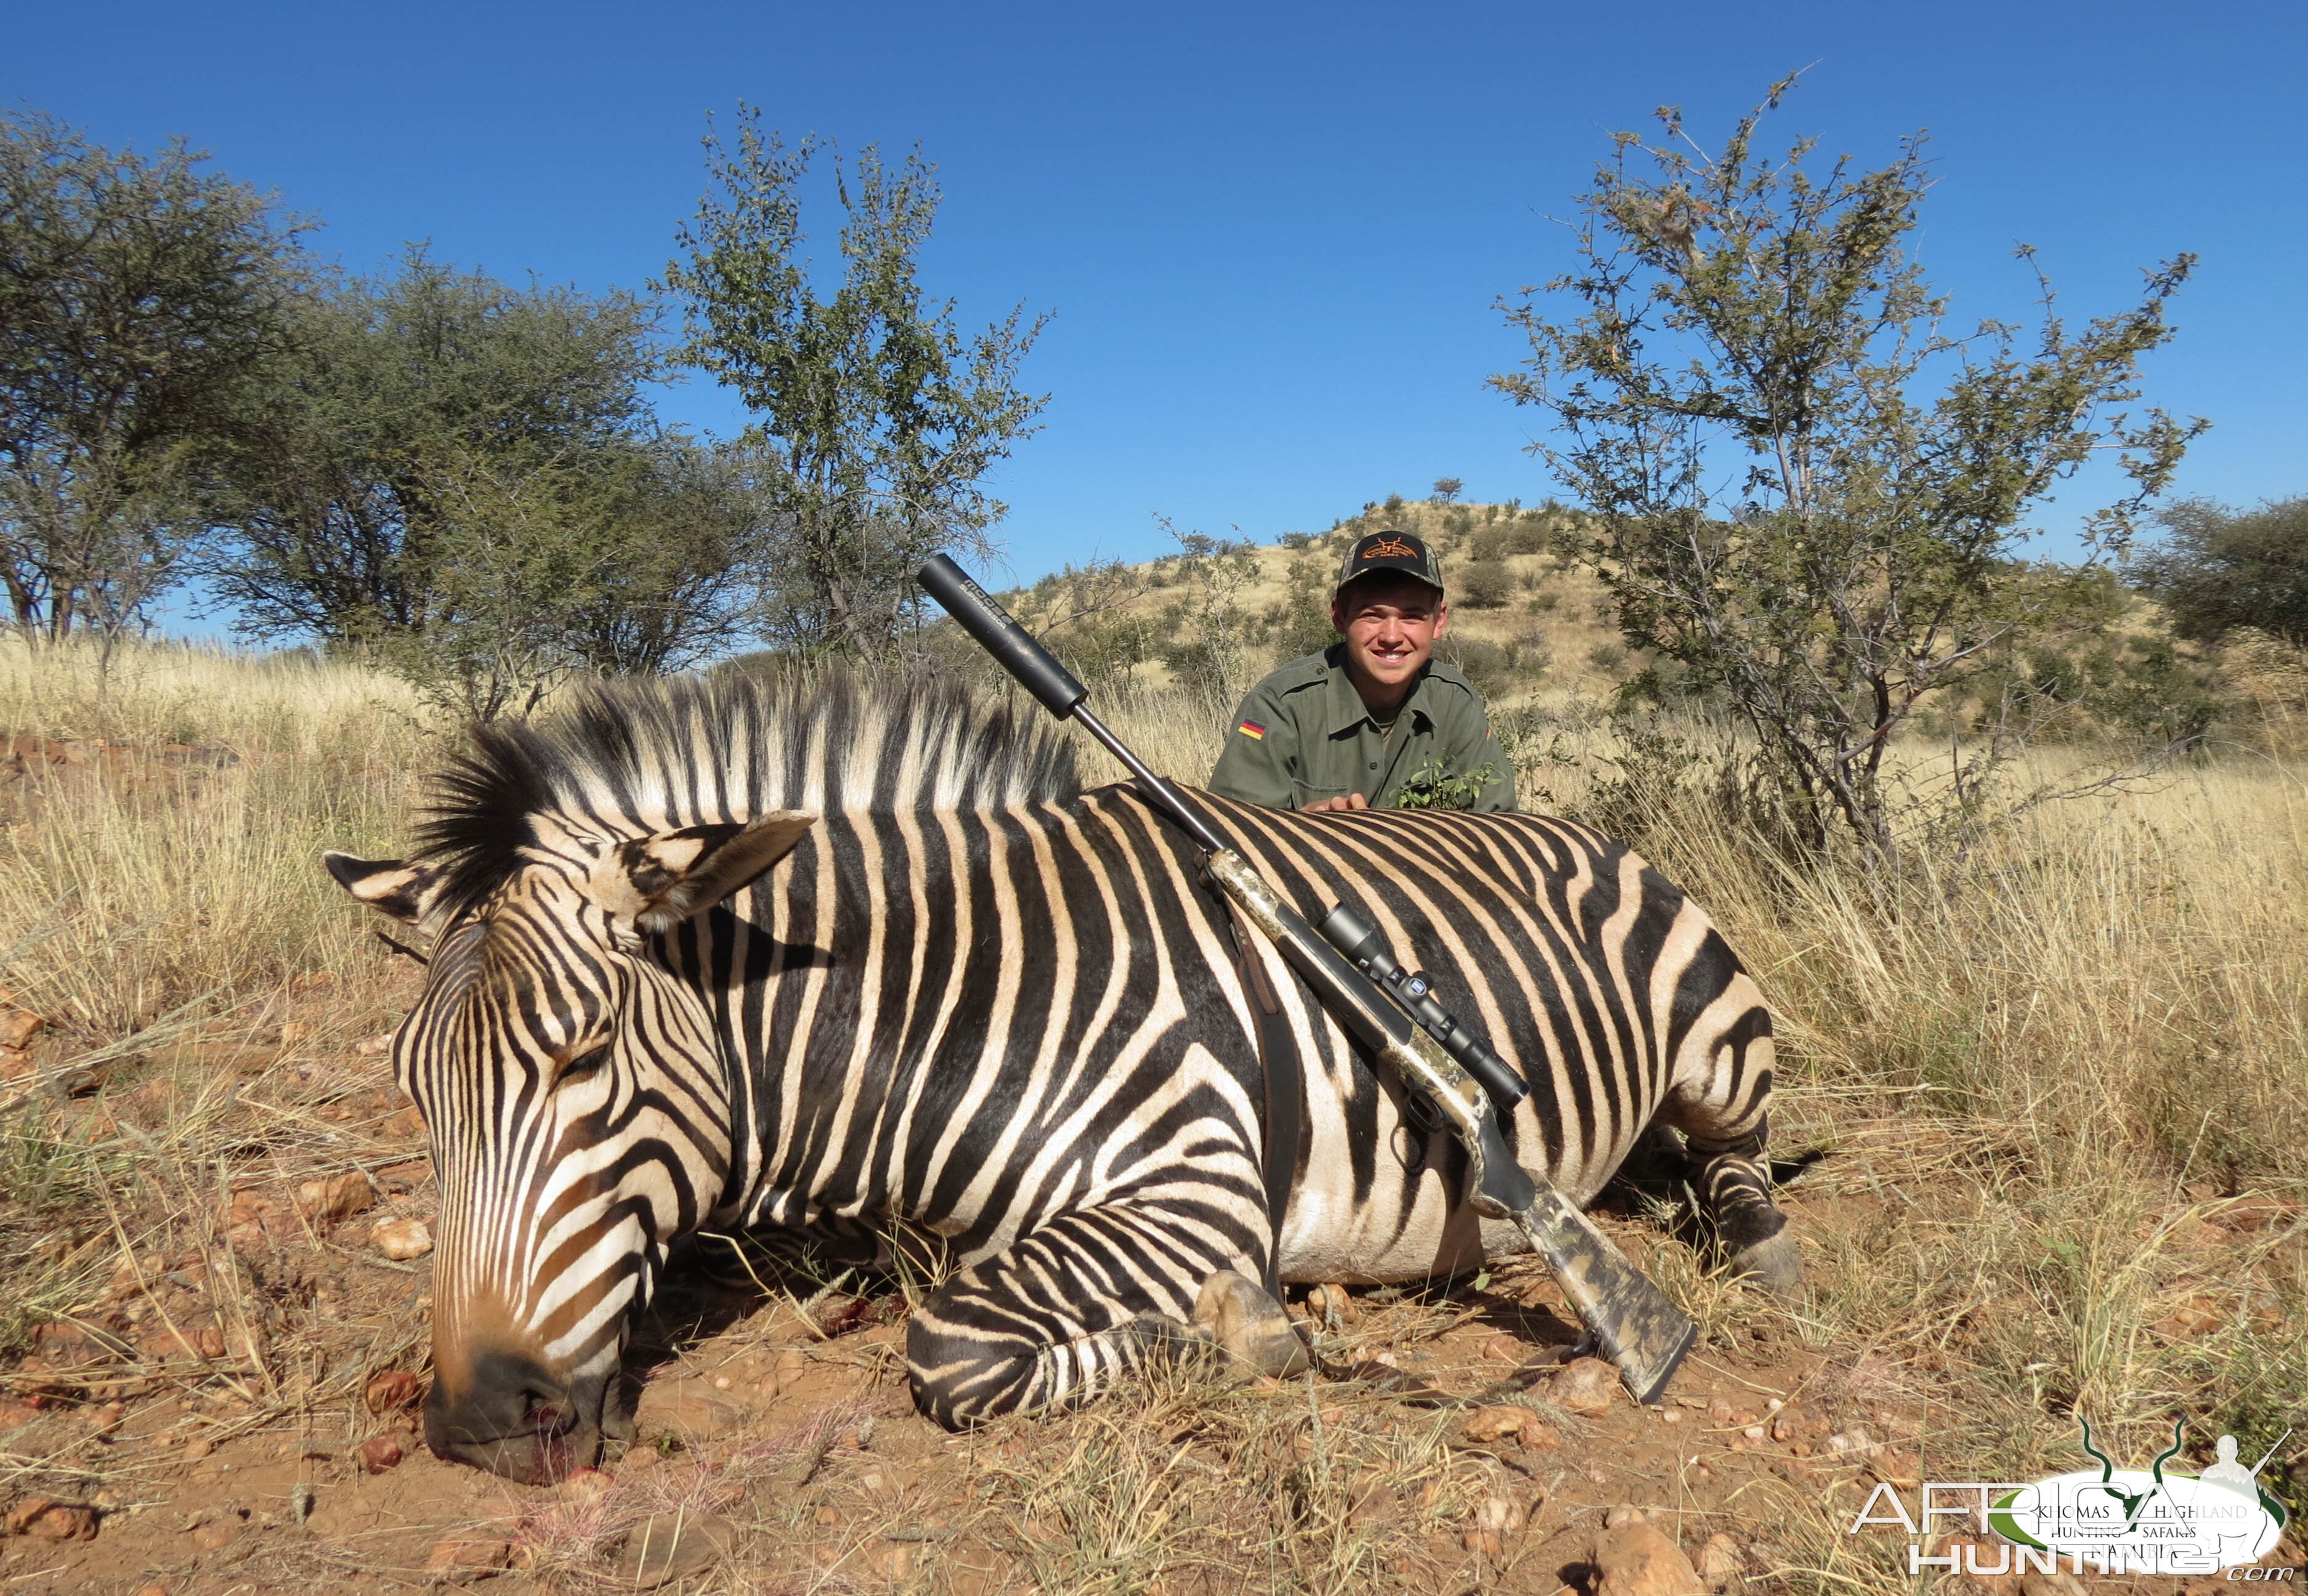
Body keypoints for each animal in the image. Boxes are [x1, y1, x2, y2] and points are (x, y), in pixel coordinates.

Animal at [330, 674, 1800, 1487]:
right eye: (415, 1092)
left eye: (582, 1055)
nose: (479, 1424)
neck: (940, 1006)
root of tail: (1583, 825)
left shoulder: (1197, 1182)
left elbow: (948, 1345)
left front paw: (1252, 1334)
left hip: (1716, 1039)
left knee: (1739, 1154)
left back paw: (1752, 1251)